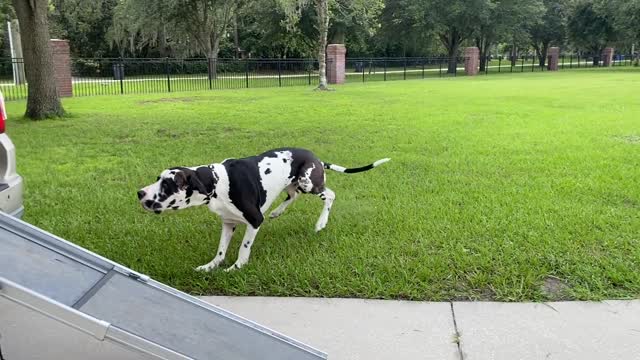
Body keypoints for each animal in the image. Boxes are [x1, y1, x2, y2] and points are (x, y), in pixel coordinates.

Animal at [138, 148, 390, 272]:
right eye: (157, 179)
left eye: (167, 185)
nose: (140, 193)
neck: (217, 182)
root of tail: (316, 158)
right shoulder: (228, 223)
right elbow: (220, 251)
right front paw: (211, 266)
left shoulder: (254, 221)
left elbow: (243, 248)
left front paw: (236, 267)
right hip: (293, 184)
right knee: (293, 195)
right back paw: (277, 211)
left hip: (308, 182)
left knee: (330, 195)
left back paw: (321, 223)